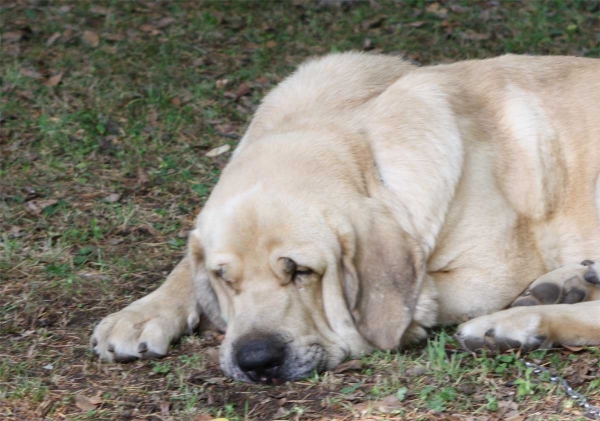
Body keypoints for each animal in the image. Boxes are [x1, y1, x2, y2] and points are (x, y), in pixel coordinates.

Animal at [90, 52, 600, 384]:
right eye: (223, 278)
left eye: (301, 272)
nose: (255, 361)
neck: (361, 144)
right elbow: (184, 268)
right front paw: (141, 314)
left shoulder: (490, 272)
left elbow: (413, 296)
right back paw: (567, 285)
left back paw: (517, 324)